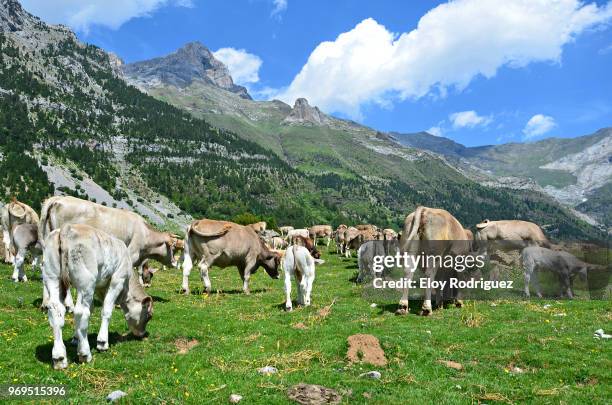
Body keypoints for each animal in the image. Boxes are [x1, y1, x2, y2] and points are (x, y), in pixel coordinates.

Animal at [43, 224, 153, 370]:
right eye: (149, 316)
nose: (142, 334)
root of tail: (67, 228)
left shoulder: (96, 285)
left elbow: (92, 309)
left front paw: (76, 338)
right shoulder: (117, 280)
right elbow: (106, 310)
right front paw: (102, 342)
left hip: (52, 277)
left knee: (56, 311)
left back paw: (59, 358)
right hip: (86, 281)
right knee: (81, 312)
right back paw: (85, 354)